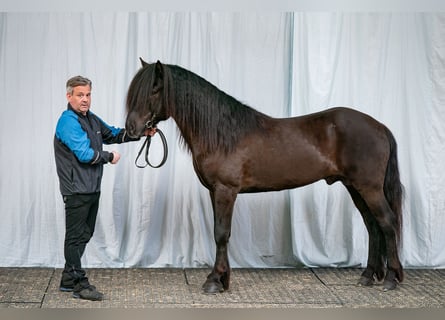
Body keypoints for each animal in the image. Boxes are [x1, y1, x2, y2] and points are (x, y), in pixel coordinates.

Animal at [124, 59, 402, 292]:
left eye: (154, 90)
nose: (131, 129)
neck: (221, 134)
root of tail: (380, 127)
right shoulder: (215, 192)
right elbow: (219, 232)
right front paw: (221, 278)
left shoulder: (226, 190)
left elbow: (221, 233)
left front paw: (215, 281)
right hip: (355, 187)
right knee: (372, 225)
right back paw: (367, 276)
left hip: (369, 188)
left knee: (387, 222)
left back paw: (391, 278)